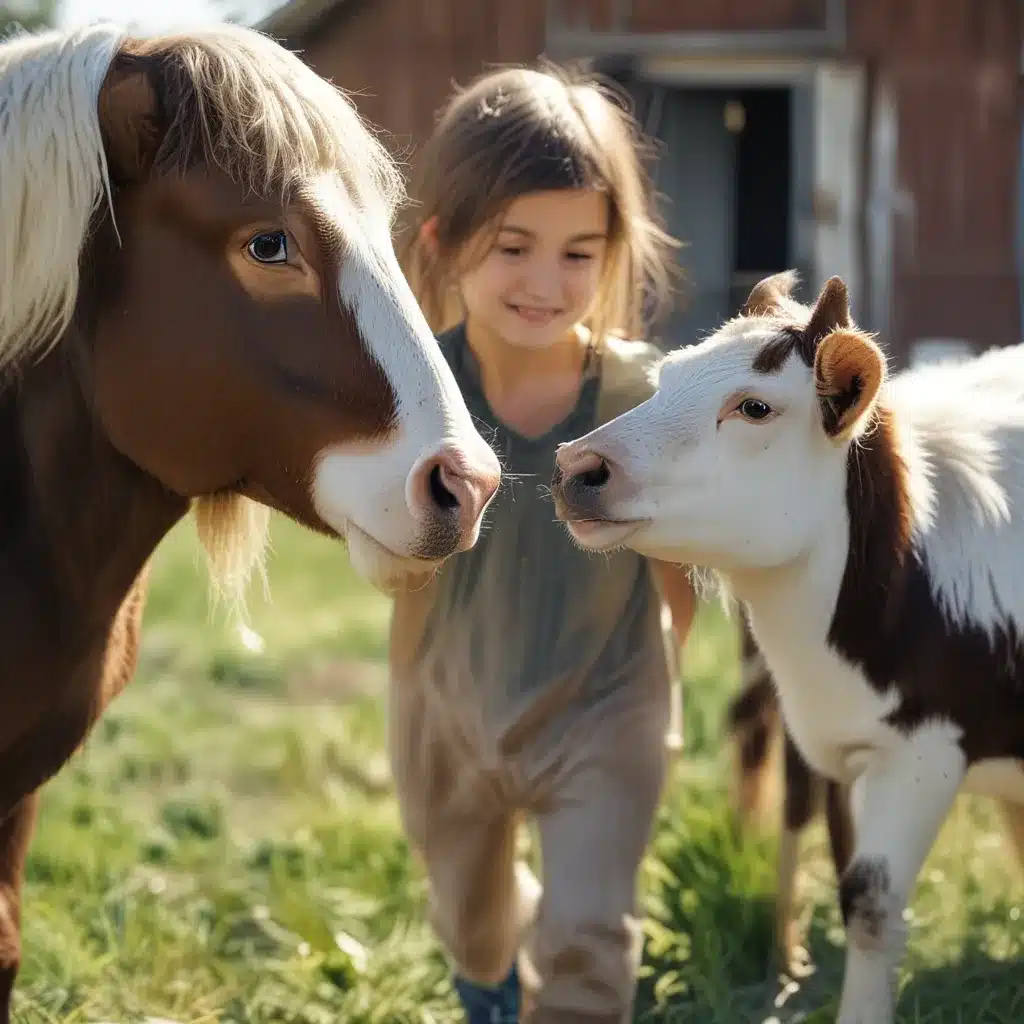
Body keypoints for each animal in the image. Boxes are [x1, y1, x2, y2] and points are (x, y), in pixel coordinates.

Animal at [552, 272, 1024, 1024]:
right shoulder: (836, 743)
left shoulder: (923, 751)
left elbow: (870, 905)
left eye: (754, 407)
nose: (579, 466)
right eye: (665, 378)